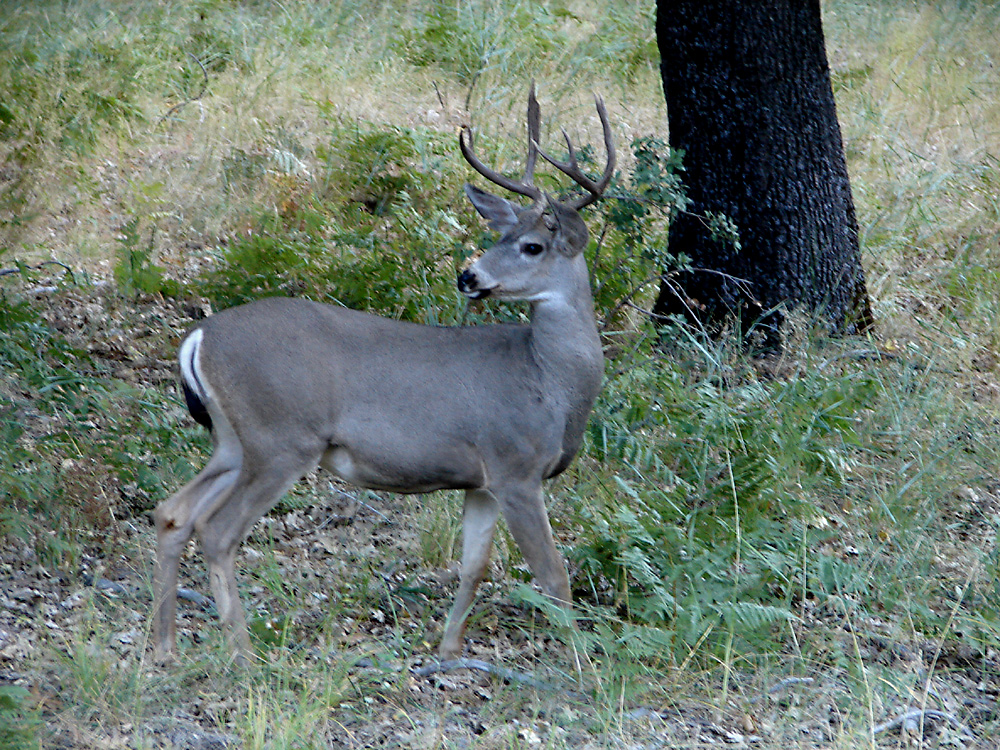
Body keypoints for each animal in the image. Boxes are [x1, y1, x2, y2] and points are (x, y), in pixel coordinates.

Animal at [151, 85, 612, 668]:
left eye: (531, 245)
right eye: (503, 236)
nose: (468, 276)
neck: (550, 382)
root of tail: (199, 338)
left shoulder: (483, 480)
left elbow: (473, 567)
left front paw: (449, 649)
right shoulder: (516, 466)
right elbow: (554, 574)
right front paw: (583, 667)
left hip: (235, 440)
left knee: (173, 512)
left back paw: (164, 647)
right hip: (281, 437)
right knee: (215, 530)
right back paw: (244, 653)